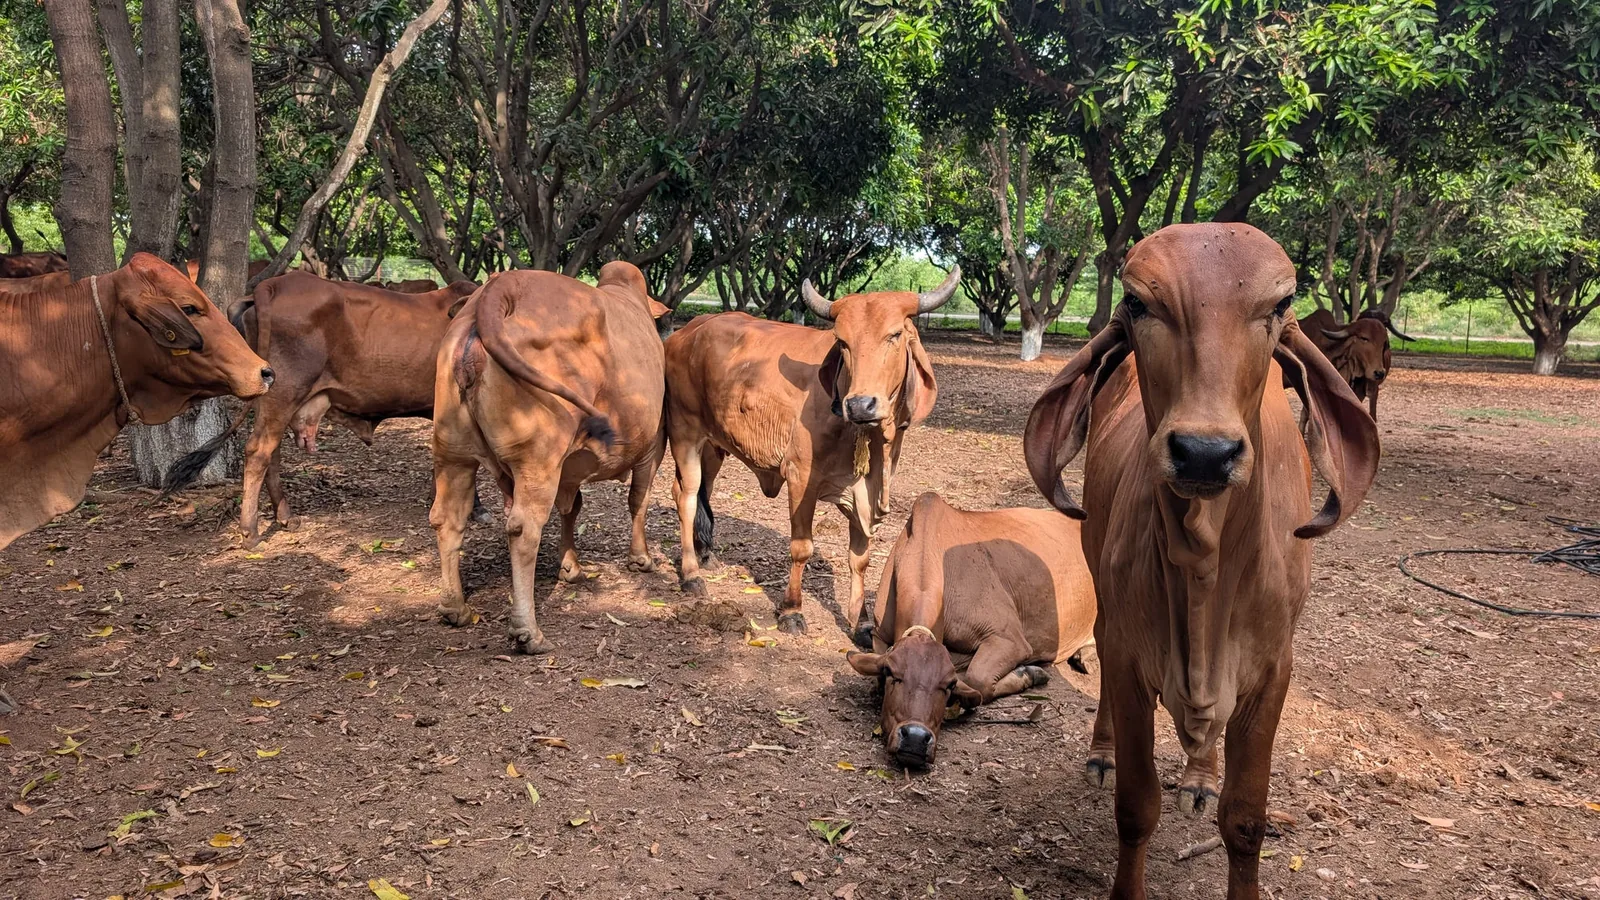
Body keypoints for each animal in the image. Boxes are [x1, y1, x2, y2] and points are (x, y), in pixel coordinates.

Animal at [163, 272, 478, 548]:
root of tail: (273, 285)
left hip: (273, 395)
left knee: (271, 452)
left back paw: (285, 516)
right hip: (286, 391)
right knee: (258, 452)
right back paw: (250, 532)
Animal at [430, 262, 668, 653]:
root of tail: (500, 288)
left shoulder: (568, 470)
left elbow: (572, 508)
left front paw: (570, 567)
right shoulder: (652, 449)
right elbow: (638, 501)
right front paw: (641, 558)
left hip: (453, 450)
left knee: (447, 519)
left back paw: (456, 608)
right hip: (538, 459)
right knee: (523, 529)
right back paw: (528, 631)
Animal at [663, 268, 958, 635]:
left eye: (894, 335)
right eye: (843, 342)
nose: (860, 404)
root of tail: (687, 331)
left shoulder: (864, 489)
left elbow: (859, 558)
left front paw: (861, 621)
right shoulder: (801, 476)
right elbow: (802, 547)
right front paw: (791, 610)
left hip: (714, 446)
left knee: (704, 490)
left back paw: (705, 555)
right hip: (685, 432)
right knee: (686, 495)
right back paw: (690, 573)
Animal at [843, 492, 1097, 767]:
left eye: (949, 685)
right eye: (893, 674)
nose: (915, 737)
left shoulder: (1009, 638)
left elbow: (978, 681)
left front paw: (1028, 673)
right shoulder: (880, 635)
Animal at [1024, 224, 1378, 900]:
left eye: (1280, 304)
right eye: (1137, 303)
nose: (1205, 453)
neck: (1203, 565)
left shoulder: (1273, 672)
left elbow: (1244, 822)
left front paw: (1214, 789)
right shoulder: (1128, 654)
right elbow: (1136, 808)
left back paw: (1200, 775)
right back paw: (1103, 752)